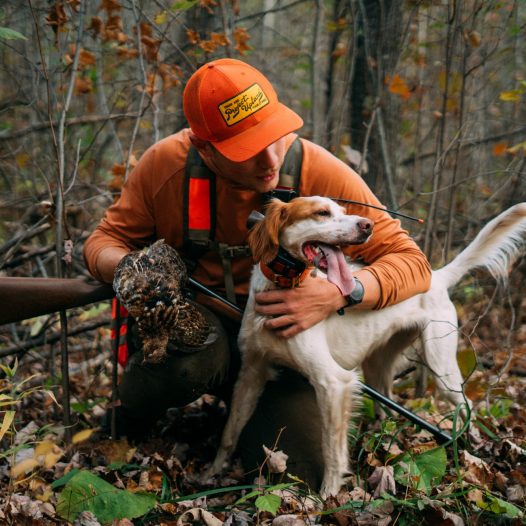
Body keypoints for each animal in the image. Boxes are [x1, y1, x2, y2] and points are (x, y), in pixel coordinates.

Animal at [210, 197, 526, 500]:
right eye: (322, 212)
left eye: (343, 210)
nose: (367, 225)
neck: (284, 287)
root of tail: (436, 276)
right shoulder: (251, 373)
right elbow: (229, 432)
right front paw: (210, 474)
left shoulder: (333, 383)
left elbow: (332, 449)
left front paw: (327, 497)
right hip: (377, 368)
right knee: (390, 404)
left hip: (441, 365)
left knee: (466, 404)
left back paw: (469, 446)